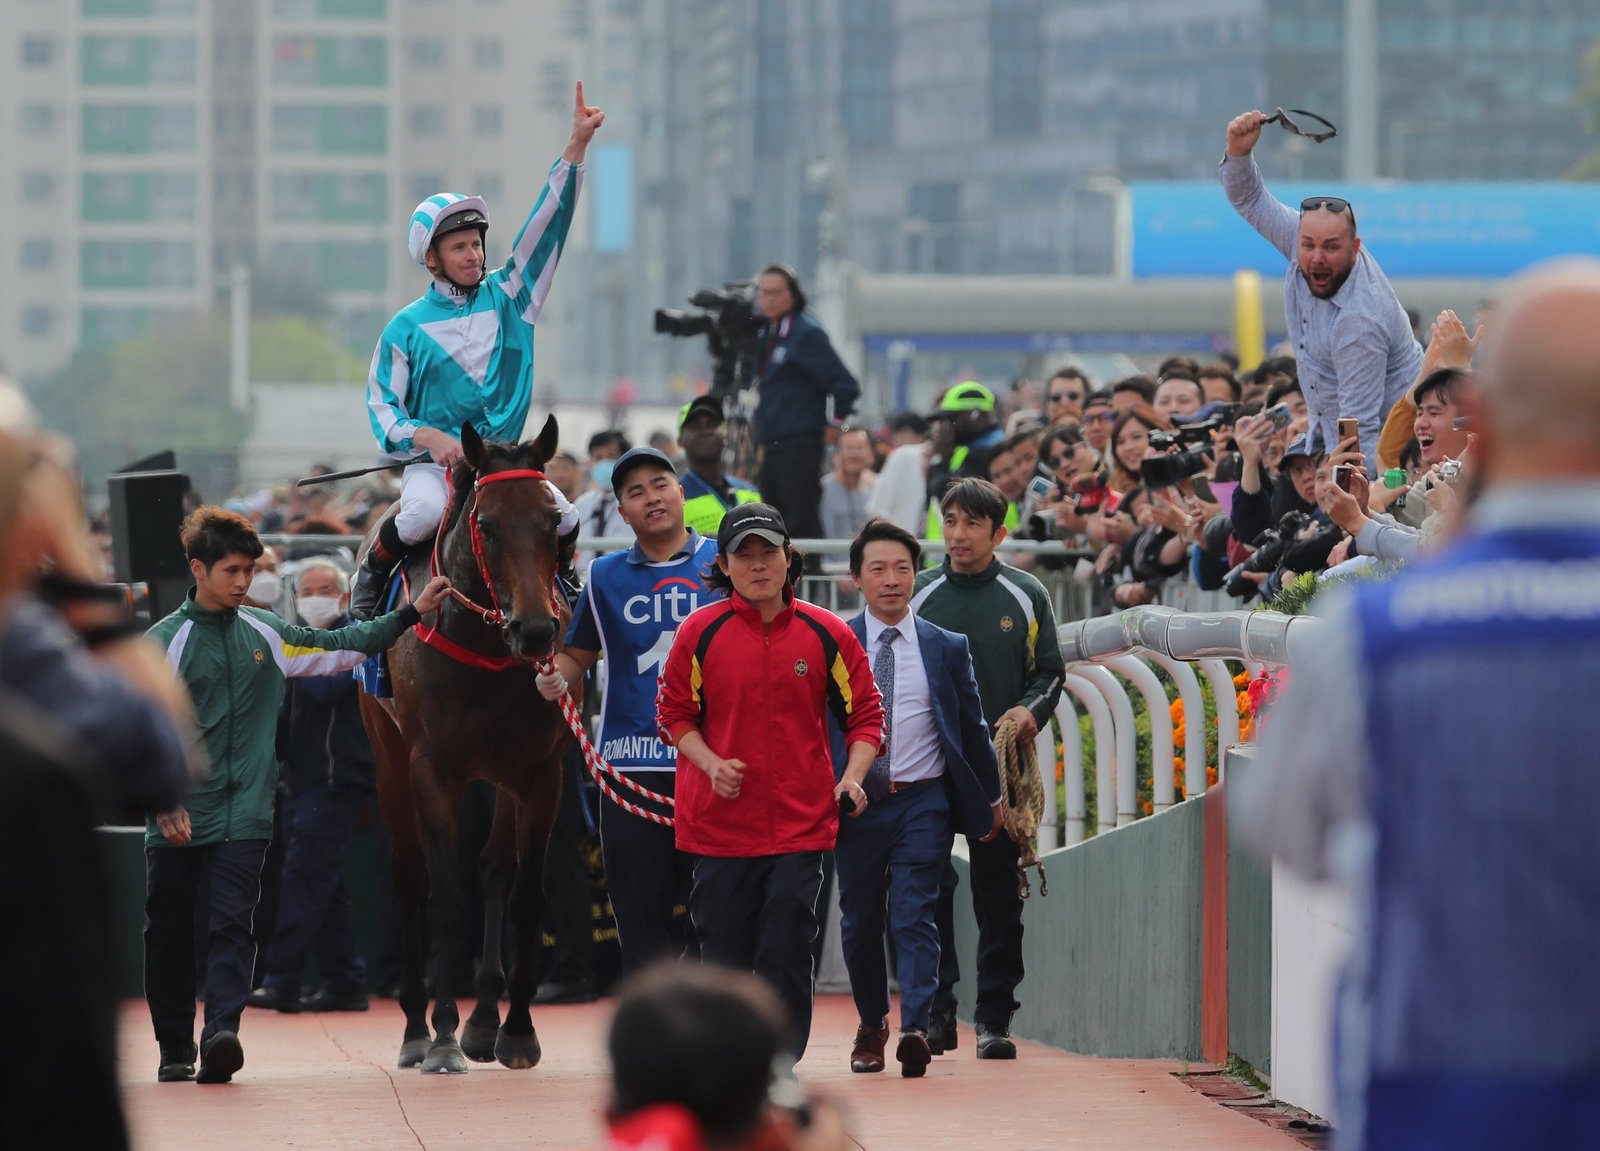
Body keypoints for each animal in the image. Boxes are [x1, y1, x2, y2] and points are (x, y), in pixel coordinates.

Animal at [358, 419, 576, 1075]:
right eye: (488, 525)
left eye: (552, 522)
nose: (537, 631)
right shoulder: (433, 769)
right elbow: (447, 893)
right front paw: (442, 1037)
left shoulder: (541, 771)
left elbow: (525, 894)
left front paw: (517, 1030)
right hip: (387, 755)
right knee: (410, 876)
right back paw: (415, 1027)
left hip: (502, 774)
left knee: (494, 867)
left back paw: (484, 1023)